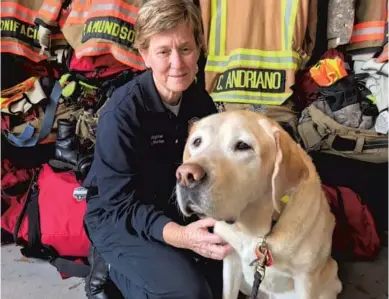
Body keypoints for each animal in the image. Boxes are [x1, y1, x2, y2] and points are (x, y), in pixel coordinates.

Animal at [174, 111, 342, 298]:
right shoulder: (231, 259)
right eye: (196, 142)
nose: (185, 175)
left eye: (242, 145)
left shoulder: (306, 279)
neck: (256, 233)